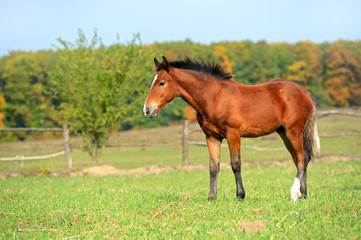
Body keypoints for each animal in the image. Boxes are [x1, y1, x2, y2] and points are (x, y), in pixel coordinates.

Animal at [143, 56, 316, 201]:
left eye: (162, 83)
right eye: (152, 82)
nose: (147, 110)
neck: (214, 97)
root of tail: (306, 93)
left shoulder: (233, 134)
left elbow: (235, 164)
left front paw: (240, 196)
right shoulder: (212, 137)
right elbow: (213, 167)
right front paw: (211, 198)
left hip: (293, 131)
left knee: (302, 158)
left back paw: (294, 194)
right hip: (284, 133)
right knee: (300, 159)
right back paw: (304, 194)